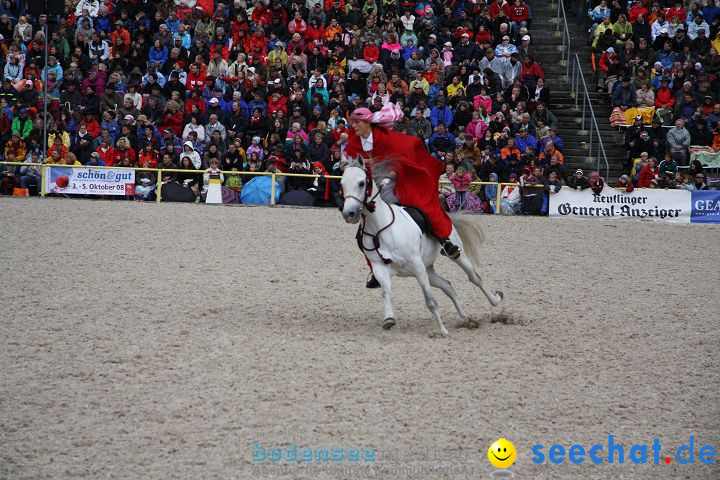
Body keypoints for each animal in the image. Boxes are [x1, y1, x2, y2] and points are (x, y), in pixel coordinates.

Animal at [340, 156, 504, 336]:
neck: (379, 229)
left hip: (454, 257)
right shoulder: (380, 268)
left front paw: (442, 330)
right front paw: (389, 319)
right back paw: (465, 319)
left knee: (474, 278)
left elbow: (430, 301)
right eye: (342, 183)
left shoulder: (417, 265)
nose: (349, 214)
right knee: (448, 286)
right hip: (428, 270)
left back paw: (495, 300)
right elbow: (386, 291)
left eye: (362, 183)